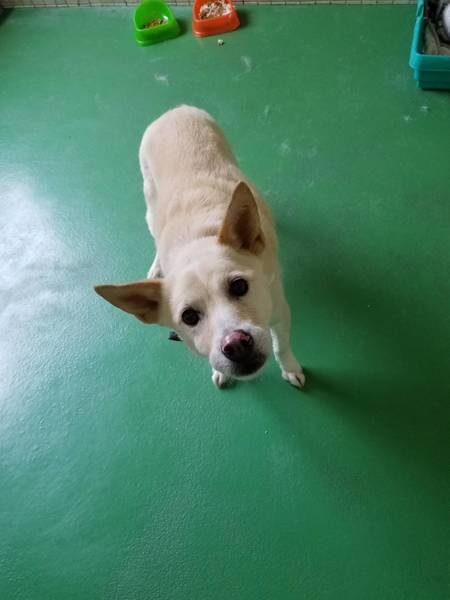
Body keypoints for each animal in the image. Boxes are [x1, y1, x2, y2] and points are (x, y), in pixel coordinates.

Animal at [95, 106, 305, 389]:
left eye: (239, 286)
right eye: (189, 317)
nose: (236, 345)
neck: (197, 238)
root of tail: (175, 110)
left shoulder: (280, 312)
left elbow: (281, 346)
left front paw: (290, 368)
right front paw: (221, 371)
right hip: (149, 207)